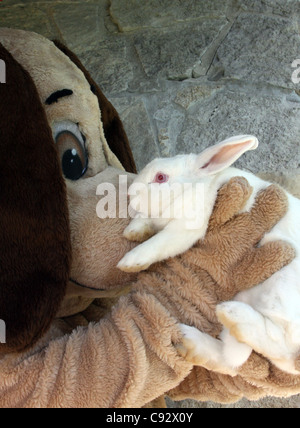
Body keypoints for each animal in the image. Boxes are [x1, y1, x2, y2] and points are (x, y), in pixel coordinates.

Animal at [118, 136, 300, 374]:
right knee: (233, 358)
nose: (129, 194)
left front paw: (129, 261)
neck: (194, 186)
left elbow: (158, 244)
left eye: (160, 177)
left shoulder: (186, 227)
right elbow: (146, 223)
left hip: (280, 292)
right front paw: (133, 230)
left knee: (274, 341)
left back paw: (233, 315)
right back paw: (191, 341)